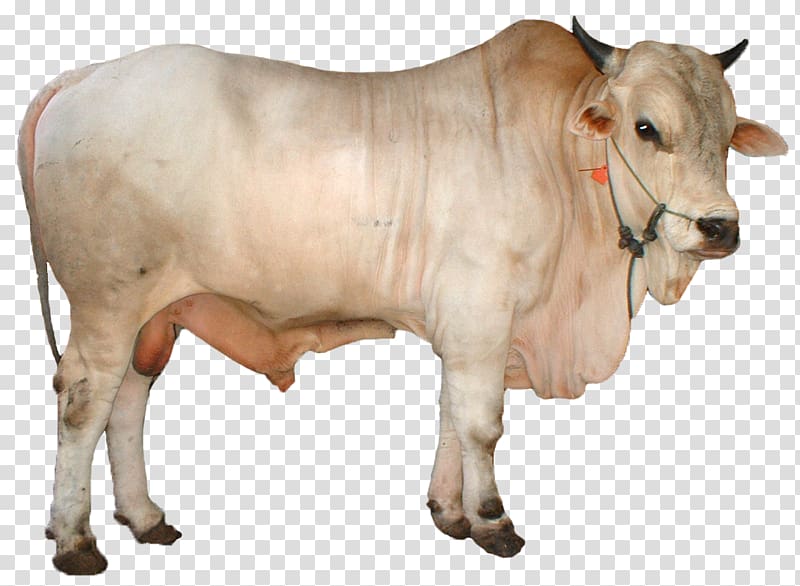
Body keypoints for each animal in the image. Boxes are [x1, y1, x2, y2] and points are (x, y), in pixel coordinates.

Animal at [18, 18, 786, 574]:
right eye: (646, 127)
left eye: (727, 135)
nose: (719, 227)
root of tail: (83, 75)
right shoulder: (482, 315)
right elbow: (481, 425)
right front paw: (493, 521)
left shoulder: (470, 329)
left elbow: (451, 415)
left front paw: (450, 512)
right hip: (106, 305)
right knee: (83, 405)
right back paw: (76, 540)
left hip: (156, 315)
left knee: (127, 404)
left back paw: (144, 517)